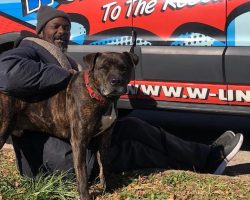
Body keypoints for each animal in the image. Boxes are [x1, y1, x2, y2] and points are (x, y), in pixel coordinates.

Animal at [0, 52, 139, 200]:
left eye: (123, 68)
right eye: (103, 68)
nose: (116, 81)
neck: (100, 98)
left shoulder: (105, 139)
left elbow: (105, 163)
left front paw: (109, 187)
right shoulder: (79, 141)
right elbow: (82, 172)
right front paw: (85, 195)